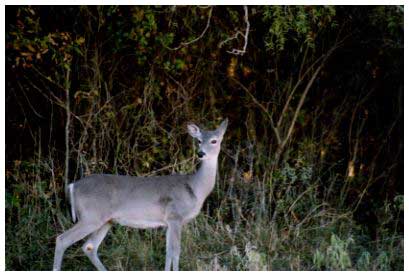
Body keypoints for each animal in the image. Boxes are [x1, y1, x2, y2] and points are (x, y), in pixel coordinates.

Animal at [52, 118, 228, 270]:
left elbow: (168, 252)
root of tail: (73, 186)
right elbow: (176, 252)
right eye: (199, 141)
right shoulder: (175, 216)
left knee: (89, 247)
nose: (201, 153)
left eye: (214, 141)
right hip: (91, 216)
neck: (195, 188)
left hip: (105, 220)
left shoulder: (168, 222)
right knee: (62, 240)